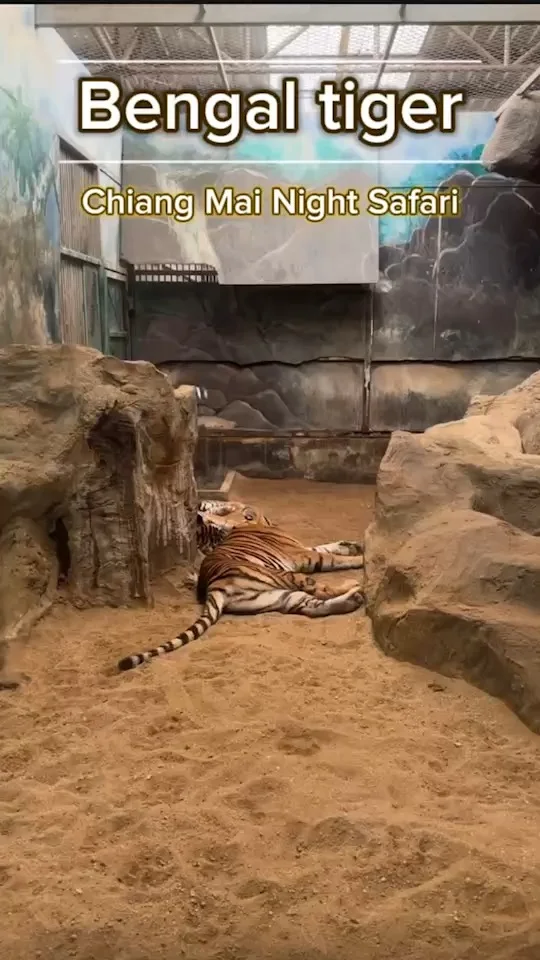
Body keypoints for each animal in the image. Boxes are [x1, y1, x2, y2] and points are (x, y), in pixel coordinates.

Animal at [117, 513, 365, 672]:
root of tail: (214, 586)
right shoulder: (303, 555)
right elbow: (332, 557)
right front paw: (361, 556)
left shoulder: (302, 549)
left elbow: (328, 546)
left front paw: (353, 544)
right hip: (284, 576)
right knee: (319, 589)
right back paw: (354, 586)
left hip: (277, 597)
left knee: (312, 606)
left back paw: (353, 599)